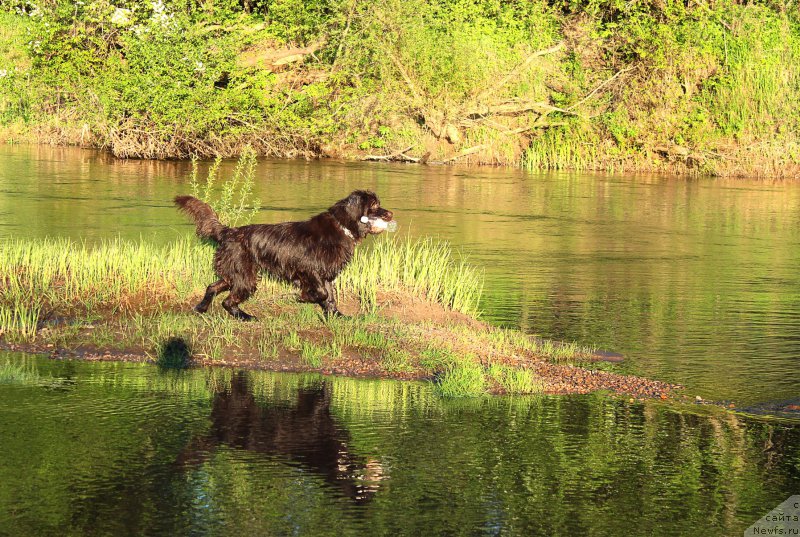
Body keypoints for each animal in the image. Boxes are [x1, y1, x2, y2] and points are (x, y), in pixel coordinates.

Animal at [175, 192, 394, 320]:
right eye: (374, 206)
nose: (390, 214)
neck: (342, 226)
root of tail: (228, 232)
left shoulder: (327, 273)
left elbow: (331, 296)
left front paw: (336, 316)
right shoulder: (309, 269)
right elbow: (322, 293)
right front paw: (304, 298)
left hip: (235, 274)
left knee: (213, 287)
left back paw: (202, 307)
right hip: (245, 276)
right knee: (228, 301)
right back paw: (246, 317)